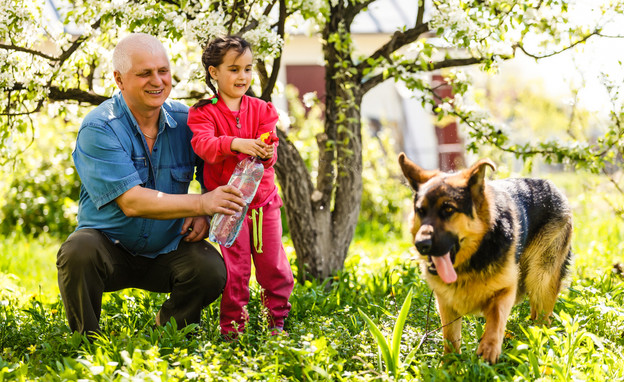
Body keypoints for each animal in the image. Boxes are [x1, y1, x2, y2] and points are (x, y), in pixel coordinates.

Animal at [398, 154, 572, 362]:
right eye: (420, 211)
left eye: (448, 210)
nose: (421, 244)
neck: (473, 258)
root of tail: (550, 185)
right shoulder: (446, 305)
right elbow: (451, 341)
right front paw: (450, 365)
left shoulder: (505, 290)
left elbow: (496, 318)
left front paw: (488, 349)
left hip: (540, 280)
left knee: (542, 318)